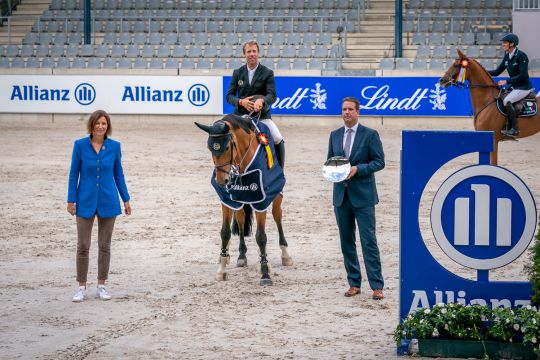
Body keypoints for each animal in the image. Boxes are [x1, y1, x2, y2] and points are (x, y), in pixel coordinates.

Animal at [196, 114, 294, 286]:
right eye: (210, 148)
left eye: (227, 148)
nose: (221, 181)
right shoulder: (227, 199)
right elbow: (225, 232)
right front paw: (222, 269)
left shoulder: (261, 199)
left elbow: (261, 237)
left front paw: (265, 274)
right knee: (241, 219)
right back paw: (241, 256)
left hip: (276, 193)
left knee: (277, 215)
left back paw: (285, 254)